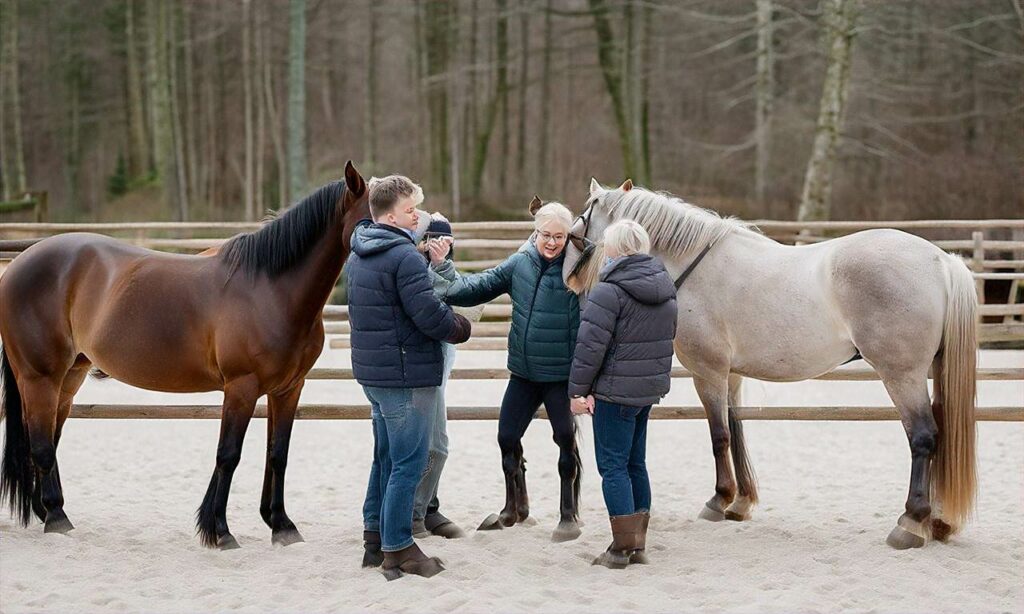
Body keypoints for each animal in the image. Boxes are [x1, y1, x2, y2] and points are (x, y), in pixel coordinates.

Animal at [2, 160, 370, 548]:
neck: (270, 289)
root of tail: (17, 266)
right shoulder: (241, 388)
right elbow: (228, 455)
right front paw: (219, 530)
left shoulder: (288, 389)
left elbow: (277, 454)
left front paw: (281, 525)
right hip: (39, 378)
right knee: (41, 445)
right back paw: (57, 518)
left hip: (68, 379)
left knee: (47, 440)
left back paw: (47, 512)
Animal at [565, 177, 978, 552]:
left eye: (578, 226)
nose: (568, 276)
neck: (693, 267)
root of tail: (942, 261)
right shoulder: (731, 376)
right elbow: (736, 431)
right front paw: (741, 502)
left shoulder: (708, 372)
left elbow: (719, 436)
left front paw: (719, 498)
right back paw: (936, 522)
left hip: (902, 376)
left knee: (923, 437)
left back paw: (910, 521)